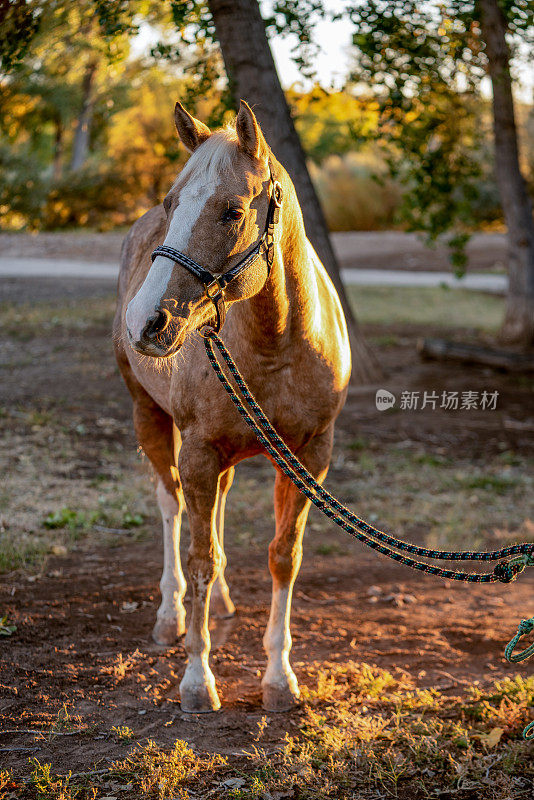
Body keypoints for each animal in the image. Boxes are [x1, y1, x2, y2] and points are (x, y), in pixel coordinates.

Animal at [114, 100, 352, 712]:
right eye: (172, 203)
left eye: (232, 211)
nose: (144, 321)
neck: (276, 344)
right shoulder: (198, 450)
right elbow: (199, 557)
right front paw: (198, 680)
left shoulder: (310, 456)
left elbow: (283, 556)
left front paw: (279, 678)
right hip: (150, 419)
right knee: (172, 507)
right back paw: (170, 615)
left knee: (215, 512)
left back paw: (220, 603)